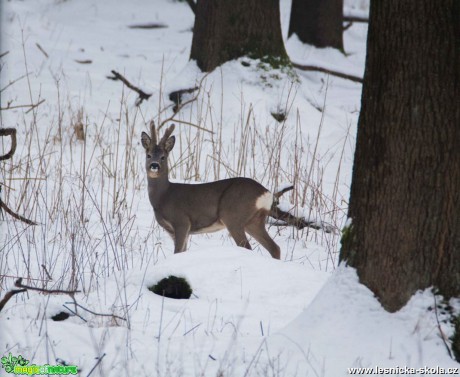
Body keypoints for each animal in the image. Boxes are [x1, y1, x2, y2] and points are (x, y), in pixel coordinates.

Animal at [140, 121, 282, 258]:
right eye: (148, 155)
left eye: (163, 157)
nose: (154, 165)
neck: (164, 197)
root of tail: (266, 193)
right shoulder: (173, 231)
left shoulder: (182, 221)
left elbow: (178, 252)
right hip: (254, 221)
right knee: (275, 248)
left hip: (233, 216)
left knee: (247, 247)